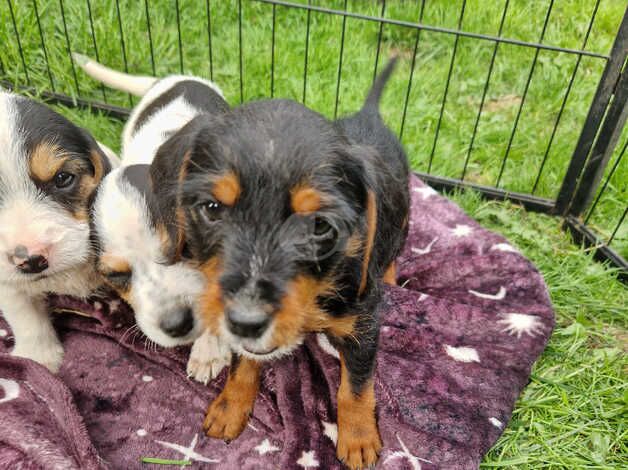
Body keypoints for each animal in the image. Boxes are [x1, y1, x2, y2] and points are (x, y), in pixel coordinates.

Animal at [153, 57, 408, 468]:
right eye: (212, 208)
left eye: (319, 225)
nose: (246, 320)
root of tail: (369, 115)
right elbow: (242, 364)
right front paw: (231, 406)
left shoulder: (365, 323)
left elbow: (356, 385)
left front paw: (359, 438)